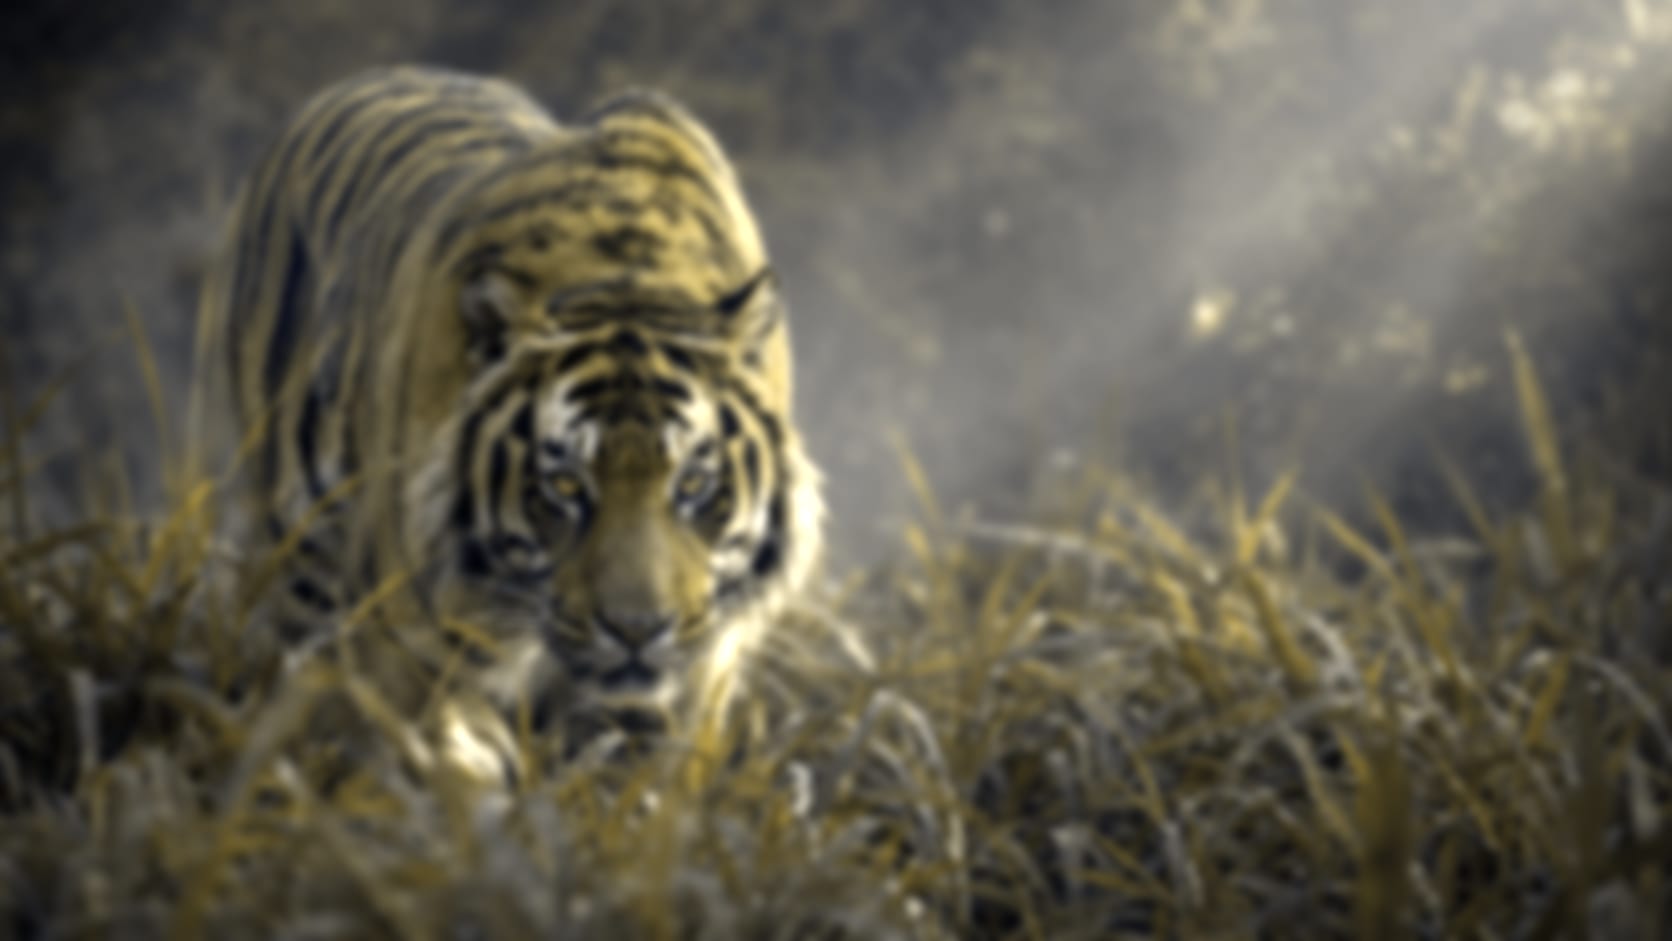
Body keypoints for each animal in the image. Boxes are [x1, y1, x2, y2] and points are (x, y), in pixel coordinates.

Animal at [194, 65, 824, 737]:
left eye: (693, 484)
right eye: (565, 484)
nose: (636, 631)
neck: (628, 280)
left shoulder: (689, 684)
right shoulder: (404, 653)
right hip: (285, 562)